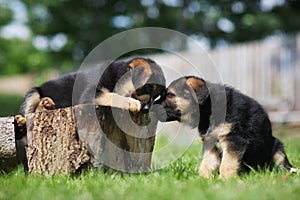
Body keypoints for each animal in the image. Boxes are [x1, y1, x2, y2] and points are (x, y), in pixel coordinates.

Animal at [158, 76, 294, 179]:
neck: (208, 109)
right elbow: (207, 162)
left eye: (170, 95)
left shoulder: (233, 139)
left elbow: (227, 162)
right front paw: (202, 178)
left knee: (282, 164)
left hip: (278, 149)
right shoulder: (209, 141)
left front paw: (224, 179)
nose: (153, 106)